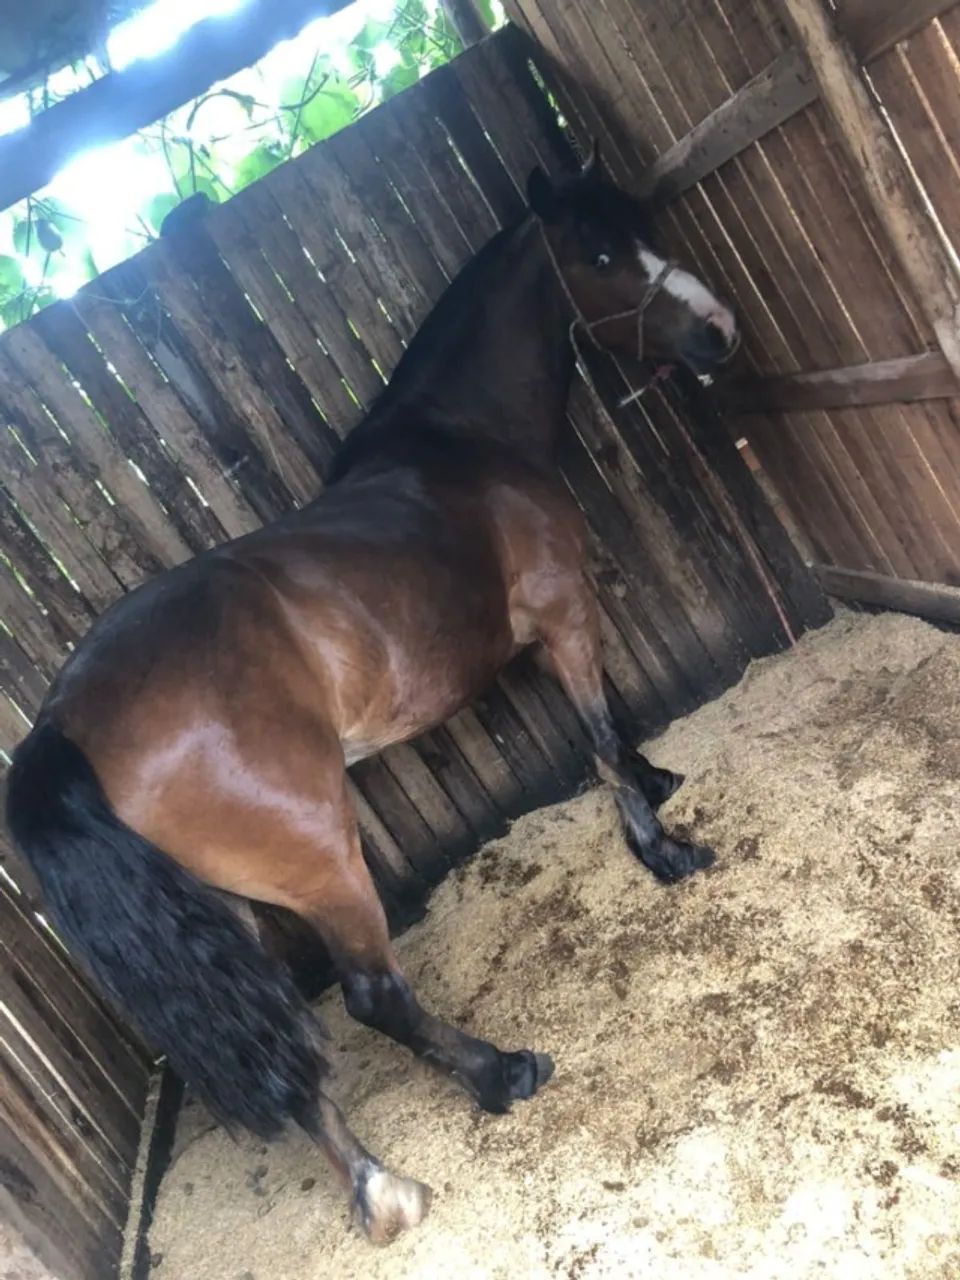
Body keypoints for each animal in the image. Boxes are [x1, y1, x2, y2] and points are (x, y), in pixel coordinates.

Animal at [5, 143, 739, 1245]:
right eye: (602, 253)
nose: (718, 330)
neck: (463, 440)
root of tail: (62, 728)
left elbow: (612, 722)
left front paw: (657, 783)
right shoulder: (564, 608)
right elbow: (598, 731)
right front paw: (663, 849)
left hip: (233, 900)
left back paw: (379, 1185)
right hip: (322, 861)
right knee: (370, 996)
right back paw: (499, 1073)